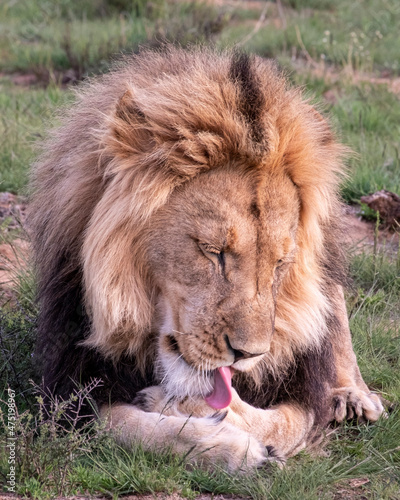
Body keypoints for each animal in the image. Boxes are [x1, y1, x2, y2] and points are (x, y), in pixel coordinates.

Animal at [29, 45, 386, 470]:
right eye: (214, 253)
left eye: (279, 264)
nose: (248, 354)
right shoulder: (69, 391)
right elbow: (126, 427)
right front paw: (226, 446)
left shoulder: (303, 386)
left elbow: (290, 420)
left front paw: (191, 407)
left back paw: (354, 396)